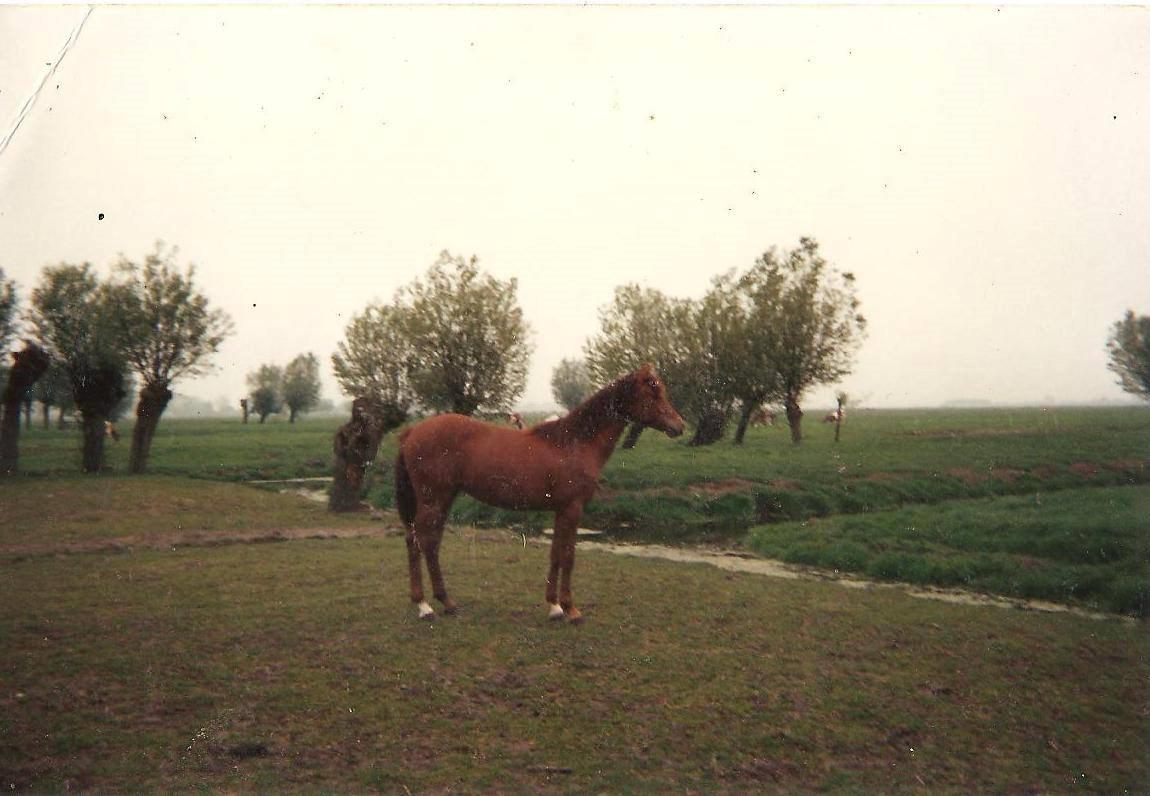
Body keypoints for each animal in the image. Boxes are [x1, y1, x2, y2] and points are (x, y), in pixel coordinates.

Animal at [395, 365, 680, 621]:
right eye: (653, 392)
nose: (679, 425)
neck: (574, 443)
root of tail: (412, 431)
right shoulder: (572, 509)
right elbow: (568, 556)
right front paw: (570, 609)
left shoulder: (560, 511)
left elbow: (555, 554)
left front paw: (554, 606)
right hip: (433, 500)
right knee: (418, 541)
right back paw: (424, 606)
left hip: (444, 499)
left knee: (431, 544)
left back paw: (446, 602)